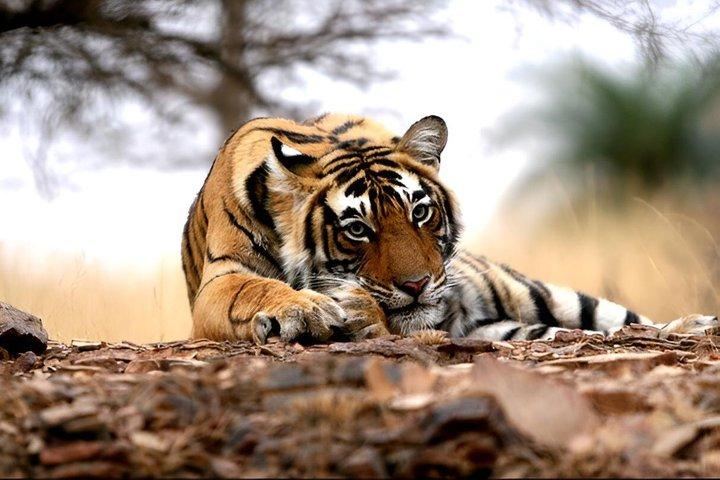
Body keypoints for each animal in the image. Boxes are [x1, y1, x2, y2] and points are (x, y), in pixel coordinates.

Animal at [181, 113, 718, 344]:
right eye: (357, 229)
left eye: (419, 212)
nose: (418, 285)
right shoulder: (220, 281)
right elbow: (253, 289)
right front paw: (306, 310)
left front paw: (354, 311)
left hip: (538, 294)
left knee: (619, 321)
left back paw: (693, 325)